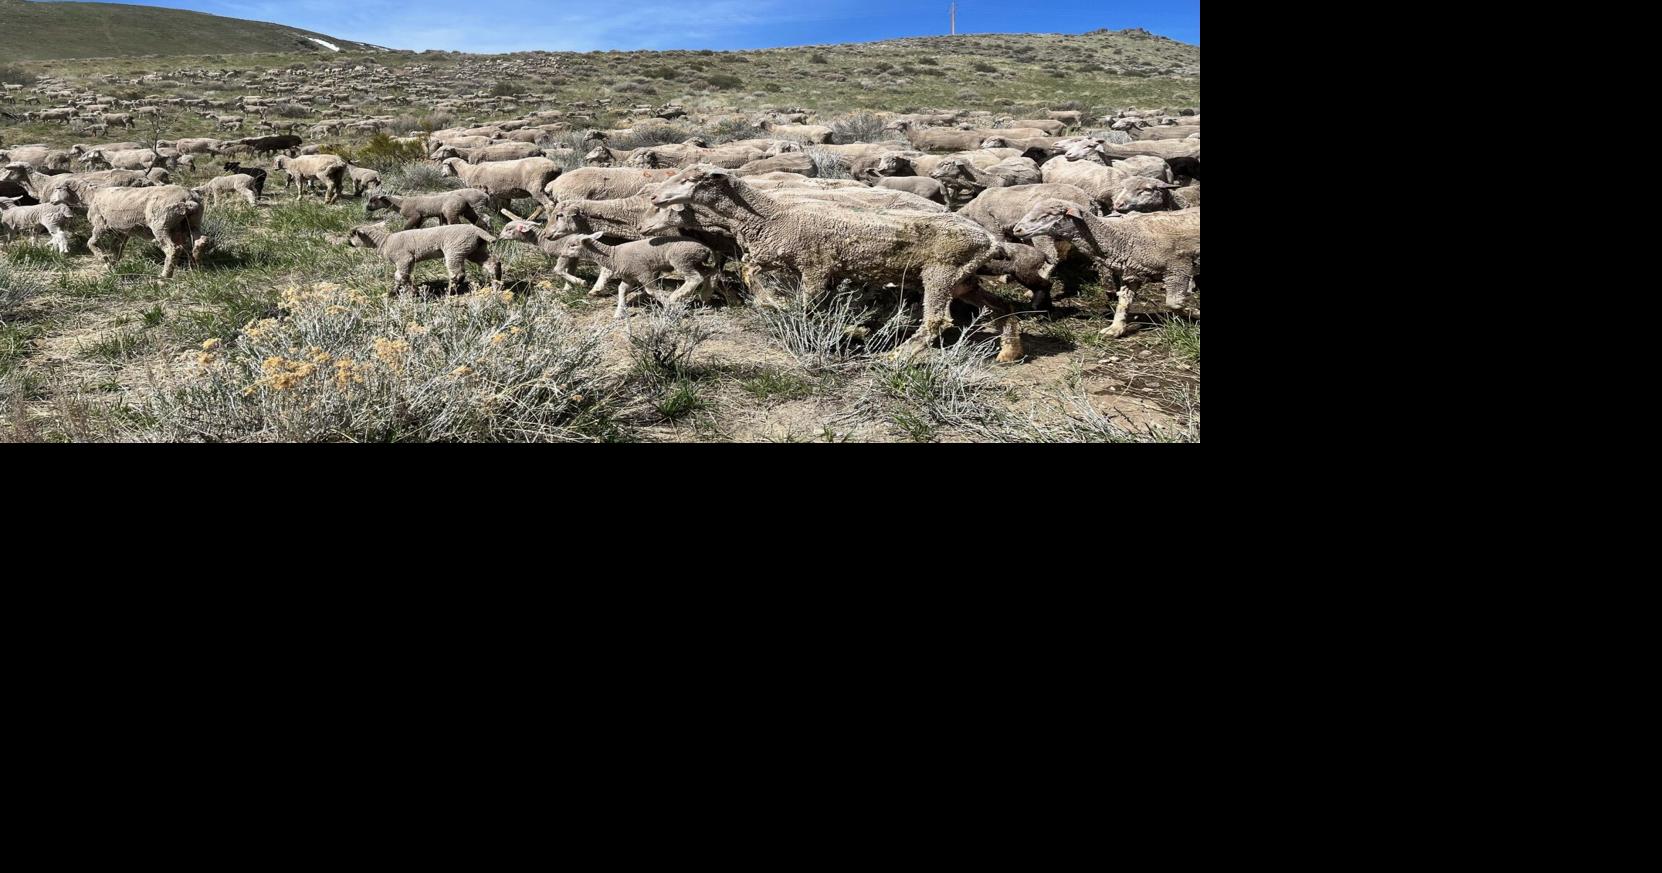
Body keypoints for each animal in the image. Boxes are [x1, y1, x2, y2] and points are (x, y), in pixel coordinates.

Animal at [343, 222, 502, 295]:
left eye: (352, 234)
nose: (347, 242)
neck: (384, 241)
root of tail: (478, 231)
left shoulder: (404, 258)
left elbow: (402, 276)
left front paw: (411, 293)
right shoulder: (409, 261)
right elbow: (400, 276)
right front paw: (397, 291)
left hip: (455, 249)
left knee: (458, 273)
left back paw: (448, 292)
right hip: (474, 248)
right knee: (493, 263)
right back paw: (497, 284)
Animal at [648, 165, 1022, 362]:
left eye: (691, 179)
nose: (653, 196)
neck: (773, 215)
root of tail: (988, 240)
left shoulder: (815, 267)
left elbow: (804, 306)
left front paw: (782, 308)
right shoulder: (777, 255)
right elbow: (748, 270)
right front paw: (772, 303)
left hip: (941, 273)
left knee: (936, 320)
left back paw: (896, 356)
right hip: (963, 279)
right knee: (1002, 307)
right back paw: (1010, 351)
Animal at [1013, 202, 1200, 337]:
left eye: (1047, 215)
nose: (1017, 229)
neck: (1123, 236)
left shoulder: (1178, 267)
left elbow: (1173, 303)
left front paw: (1195, 313)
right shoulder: (1132, 274)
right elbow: (1123, 302)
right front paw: (1115, 328)